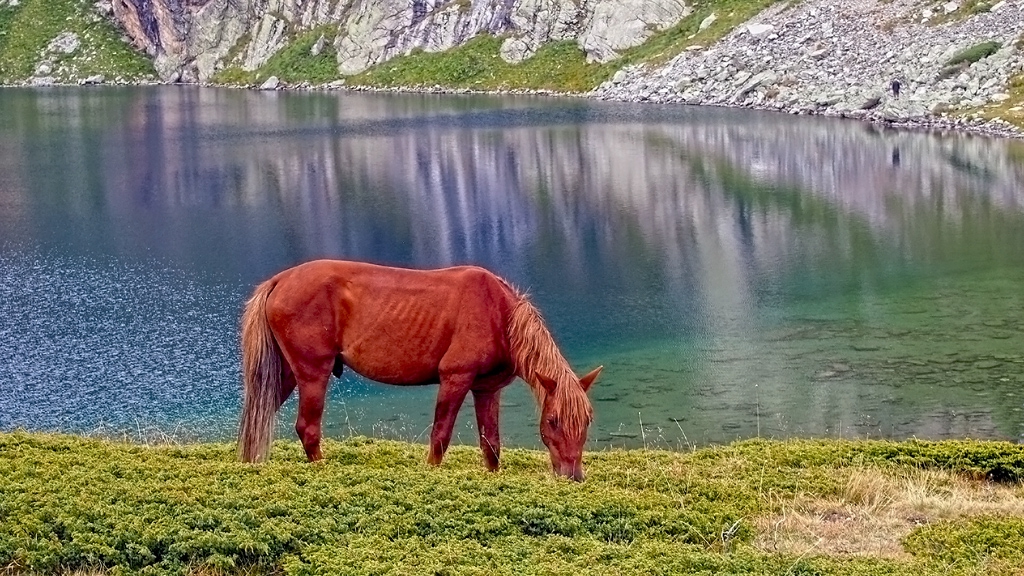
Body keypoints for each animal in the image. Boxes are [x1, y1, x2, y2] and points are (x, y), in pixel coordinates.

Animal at [235, 258, 602, 477]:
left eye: (587, 421)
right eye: (553, 421)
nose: (573, 477)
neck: (499, 313)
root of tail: (280, 279)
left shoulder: (486, 389)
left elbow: (491, 445)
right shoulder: (455, 378)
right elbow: (440, 436)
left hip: (284, 374)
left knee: (258, 418)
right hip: (313, 372)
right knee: (307, 428)